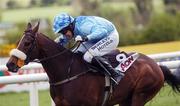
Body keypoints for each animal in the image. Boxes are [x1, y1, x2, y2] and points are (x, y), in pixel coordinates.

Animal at [5, 22, 180, 106]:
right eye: (18, 41)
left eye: (27, 43)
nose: (9, 65)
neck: (67, 72)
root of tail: (157, 66)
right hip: (125, 99)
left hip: (140, 95)